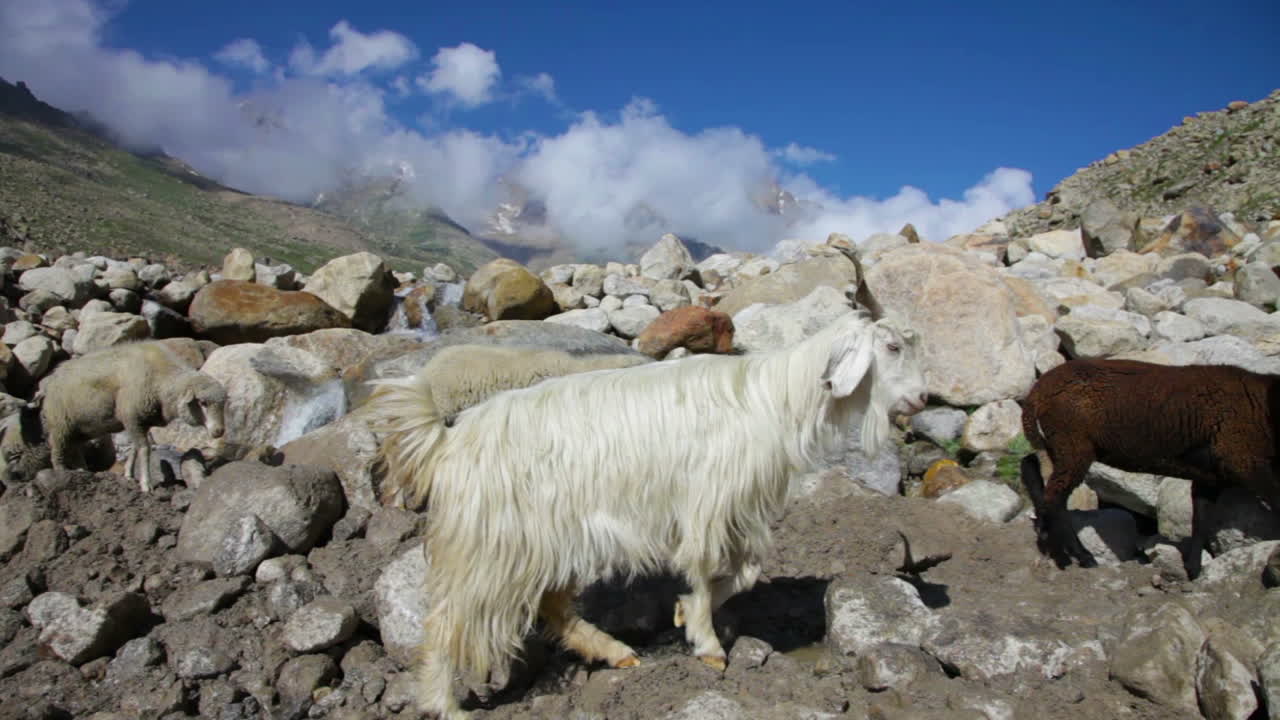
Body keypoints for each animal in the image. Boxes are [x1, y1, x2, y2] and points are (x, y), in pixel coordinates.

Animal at [12, 340, 227, 493]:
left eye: (223, 403)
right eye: (203, 403)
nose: (219, 431)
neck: (162, 383)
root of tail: (51, 379)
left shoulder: (140, 421)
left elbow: (135, 448)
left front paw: (128, 474)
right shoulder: (132, 416)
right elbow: (144, 449)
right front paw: (146, 484)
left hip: (77, 429)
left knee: (75, 449)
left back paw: (83, 472)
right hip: (59, 424)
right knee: (57, 450)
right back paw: (61, 473)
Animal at [1019, 357, 1280, 580]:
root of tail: (1037, 392)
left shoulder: (1209, 478)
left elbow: (1200, 521)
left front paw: (1193, 569)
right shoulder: (1244, 460)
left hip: (1058, 446)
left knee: (1036, 475)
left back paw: (1049, 539)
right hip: (1072, 445)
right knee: (1055, 498)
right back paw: (1078, 556)